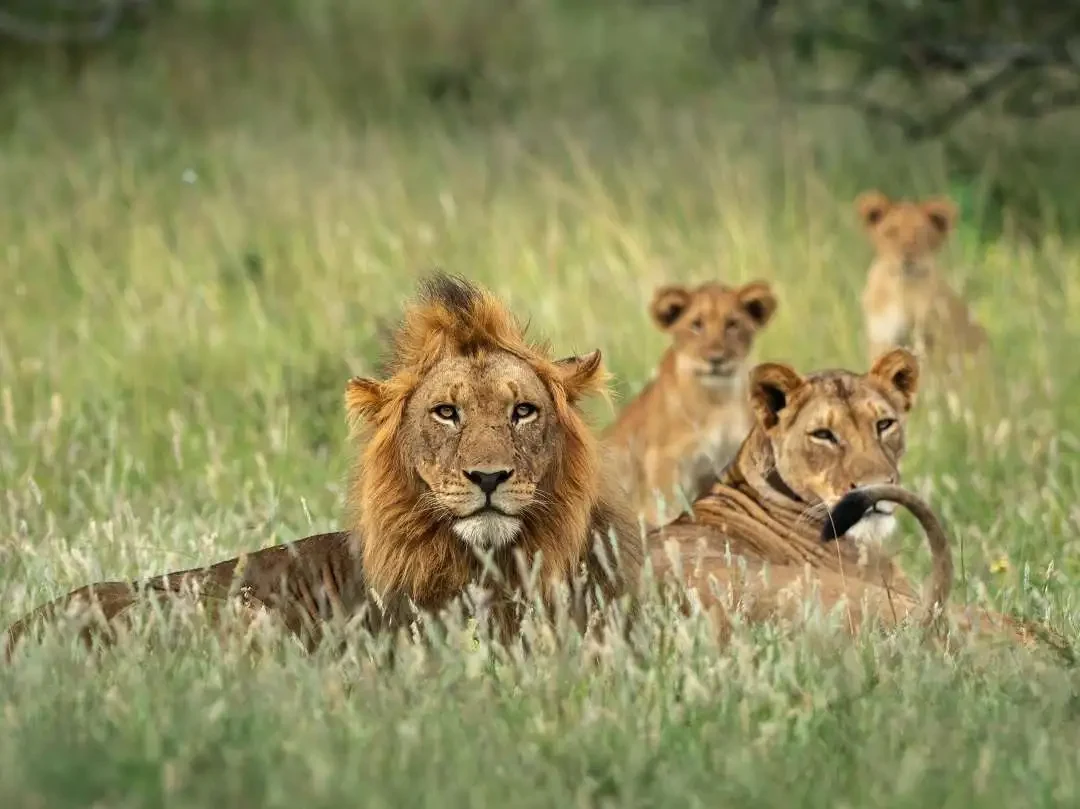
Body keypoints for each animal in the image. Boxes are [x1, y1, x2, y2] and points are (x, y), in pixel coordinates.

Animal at [605, 280, 778, 526]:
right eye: (696, 325)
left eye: (732, 324)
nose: (716, 359)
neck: (718, 400)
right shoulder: (662, 462)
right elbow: (664, 512)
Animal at [855, 190, 987, 367]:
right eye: (891, 232)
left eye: (921, 233)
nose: (907, 257)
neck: (902, 288)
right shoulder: (882, 337)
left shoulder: (932, 340)